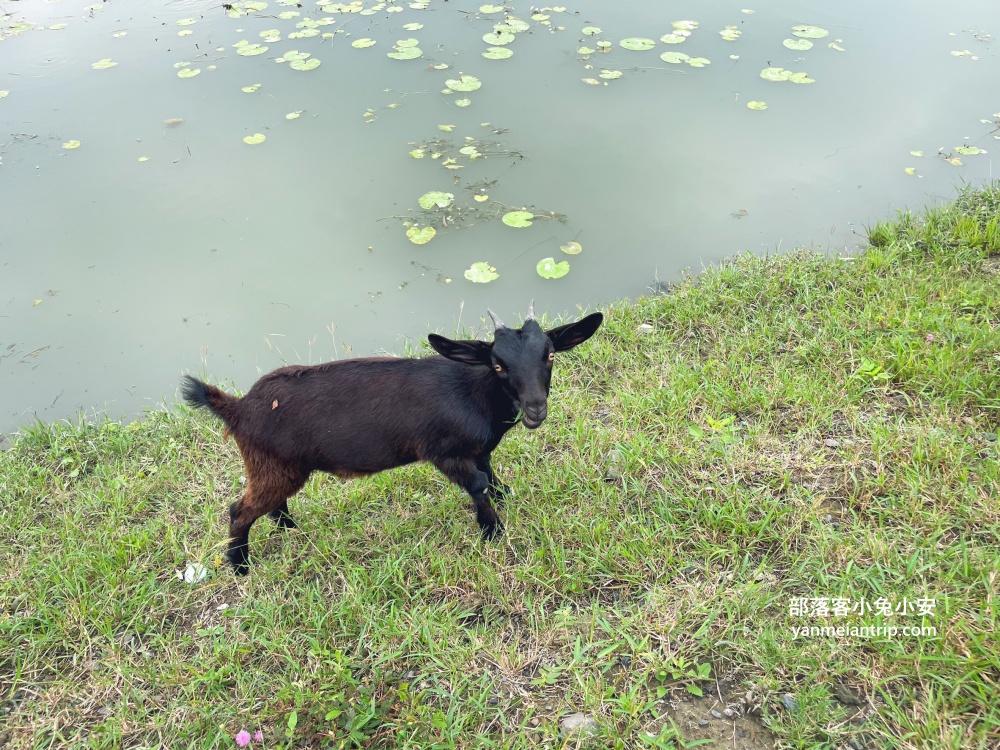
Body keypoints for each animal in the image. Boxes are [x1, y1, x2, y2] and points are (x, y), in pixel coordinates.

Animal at [180, 306, 600, 576]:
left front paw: (504, 500)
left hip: (277, 467)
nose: (535, 410)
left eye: (549, 355)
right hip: (272, 465)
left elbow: (490, 474)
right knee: (239, 510)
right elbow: (478, 483)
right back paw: (241, 567)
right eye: (498, 364)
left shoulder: (477, 450)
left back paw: (289, 529)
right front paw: (492, 532)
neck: (474, 392)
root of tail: (237, 408)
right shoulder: (443, 451)